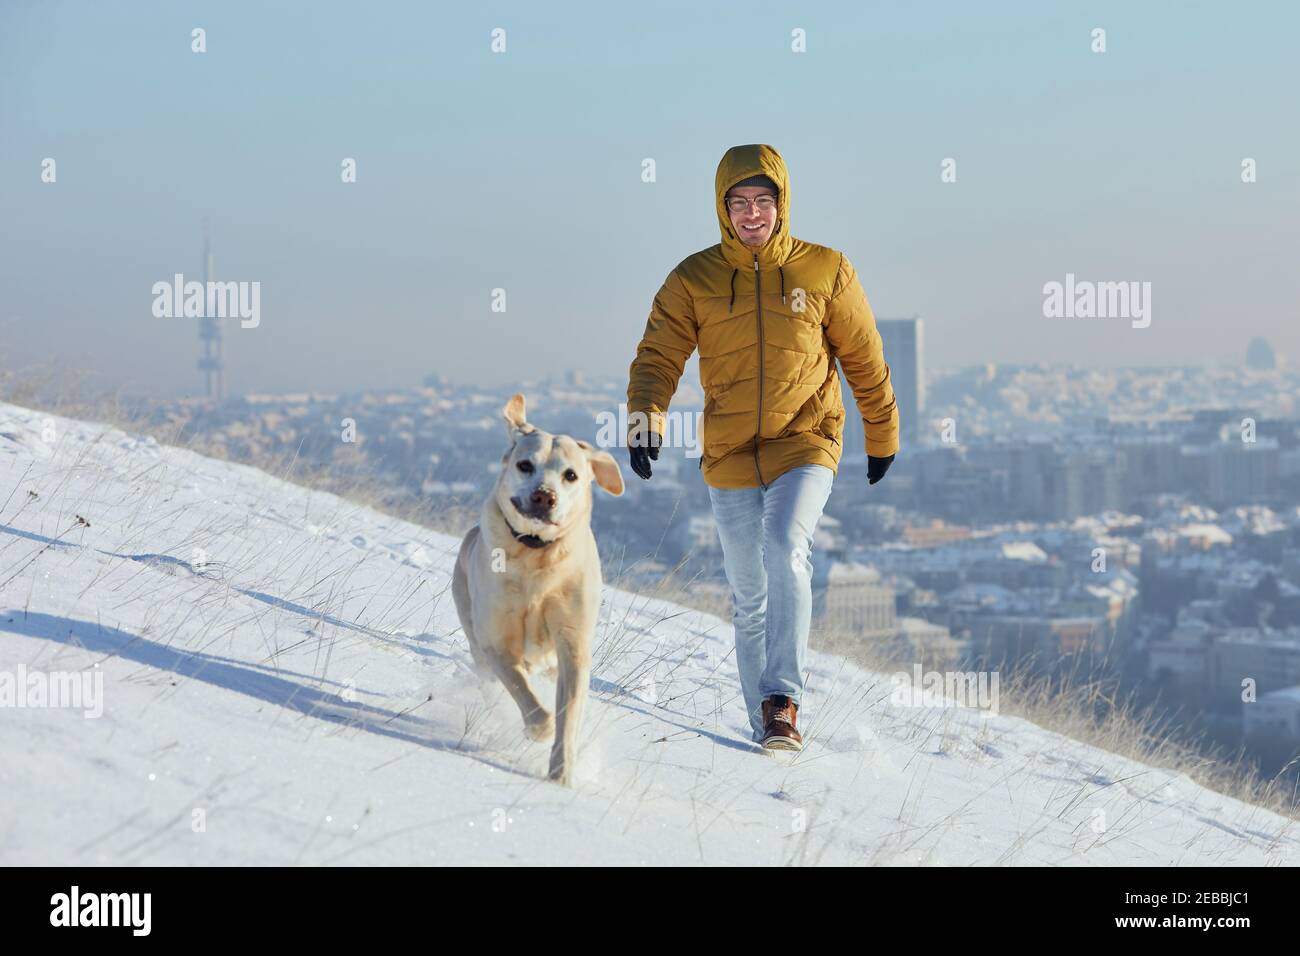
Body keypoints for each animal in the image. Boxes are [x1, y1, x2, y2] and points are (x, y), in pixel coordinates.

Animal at [452, 392, 624, 780]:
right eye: (525, 465)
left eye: (571, 475)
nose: (545, 496)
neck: (536, 555)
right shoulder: (497, 643)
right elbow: (523, 693)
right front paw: (539, 729)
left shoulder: (573, 644)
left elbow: (569, 711)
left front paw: (561, 771)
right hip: (475, 636)